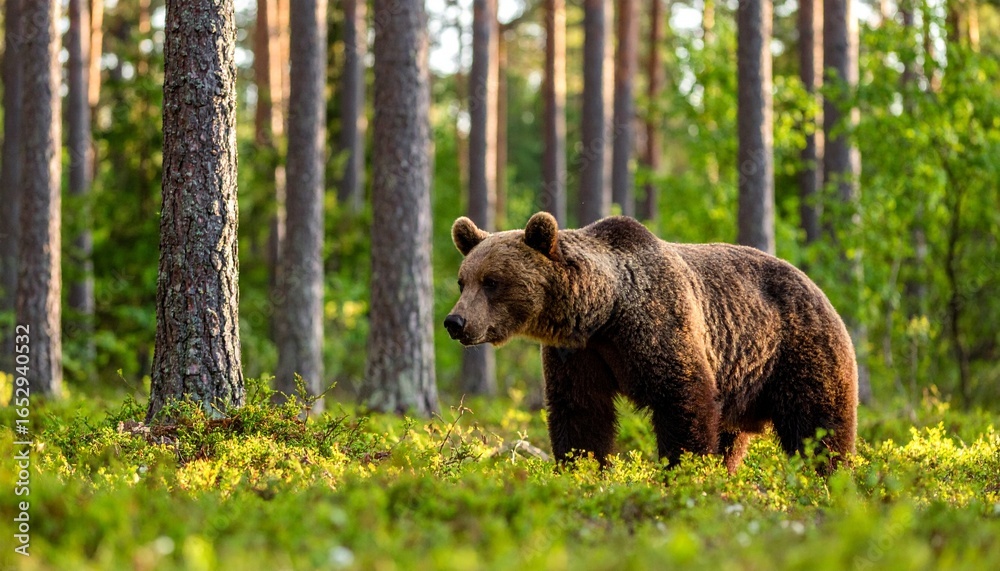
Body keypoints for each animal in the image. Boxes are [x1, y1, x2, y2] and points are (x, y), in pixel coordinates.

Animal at [444, 212, 858, 473]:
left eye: (492, 281)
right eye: (463, 281)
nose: (455, 322)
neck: (604, 312)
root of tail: (818, 288)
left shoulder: (658, 327)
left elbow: (684, 400)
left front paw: (683, 472)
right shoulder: (579, 354)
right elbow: (580, 413)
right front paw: (582, 469)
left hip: (798, 352)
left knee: (818, 427)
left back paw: (829, 479)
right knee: (732, 439)